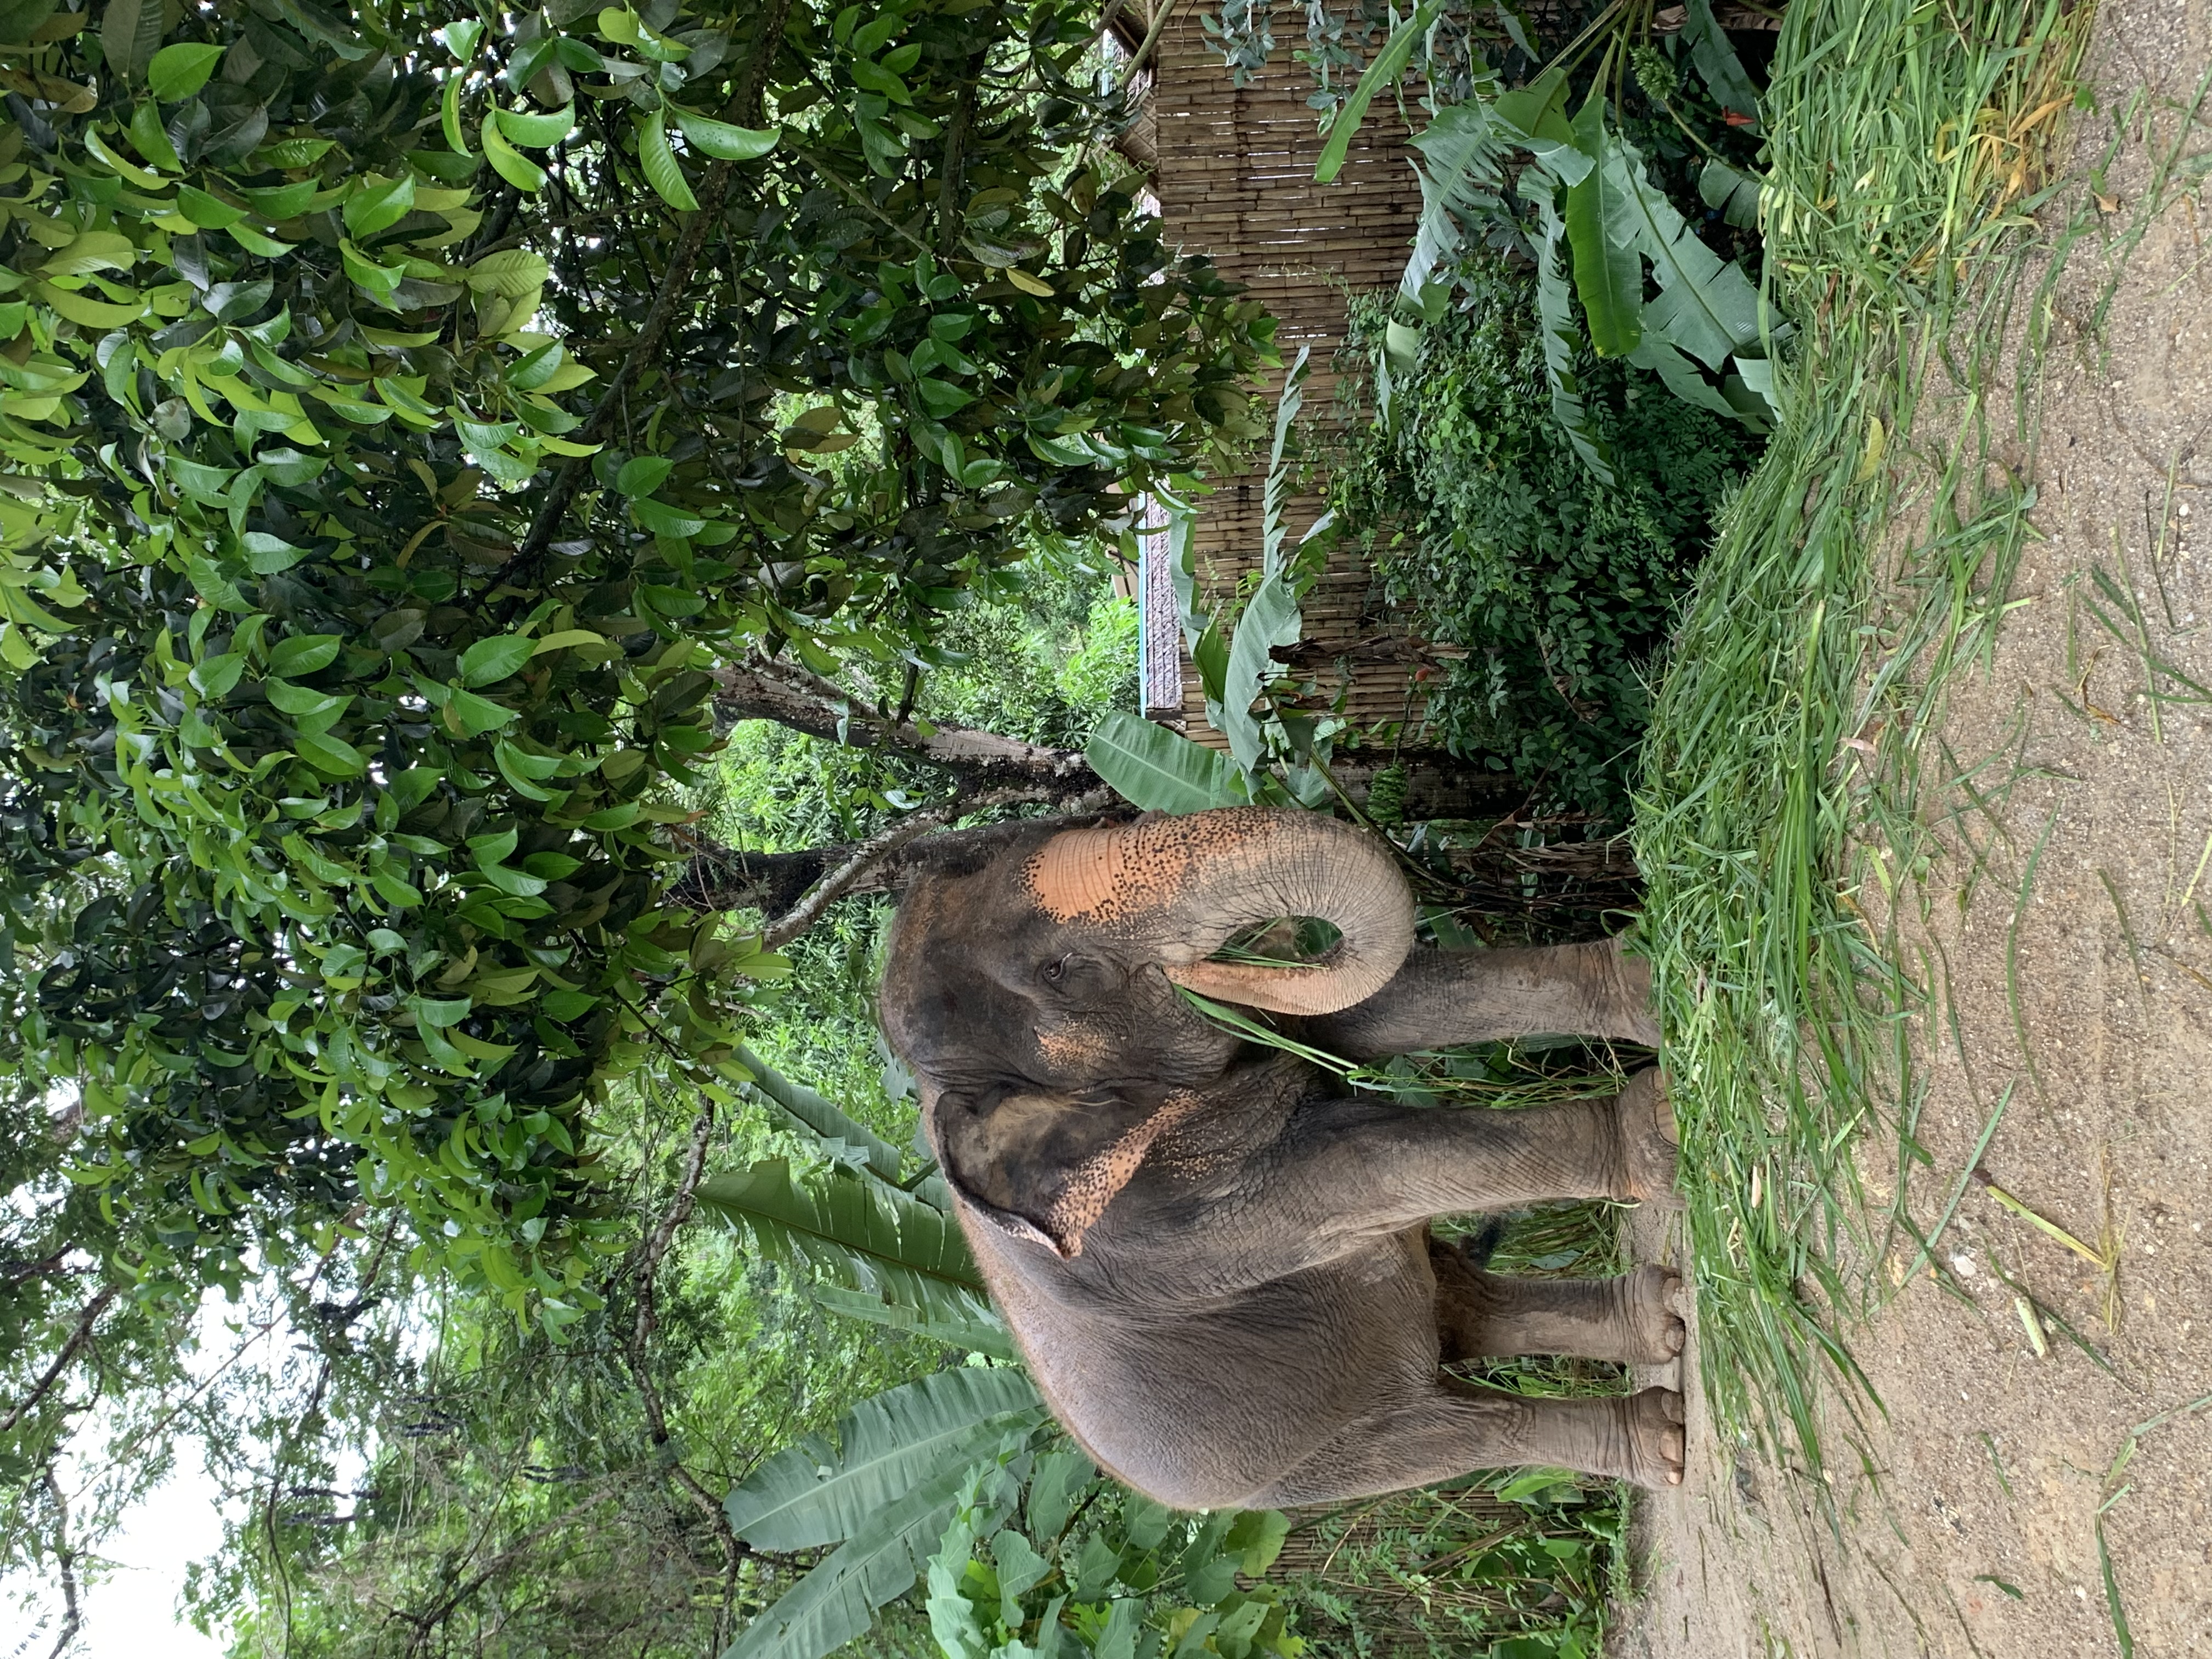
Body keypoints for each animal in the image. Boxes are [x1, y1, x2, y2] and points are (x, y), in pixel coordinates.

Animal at [878, 805, 1687, 1510]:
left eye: (1101, 820)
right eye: (1061, 971)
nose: (1221, 963)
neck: (936, 1093)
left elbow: (1376, 1011)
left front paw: (1647, 975)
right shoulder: (1171, 1224)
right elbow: (1362, 1160)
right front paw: (1663, 1126)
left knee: (1460, 1303)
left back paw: (1664, 1320)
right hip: (1310, 1462)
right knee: (1459, 1432)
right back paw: (1664, 1436)